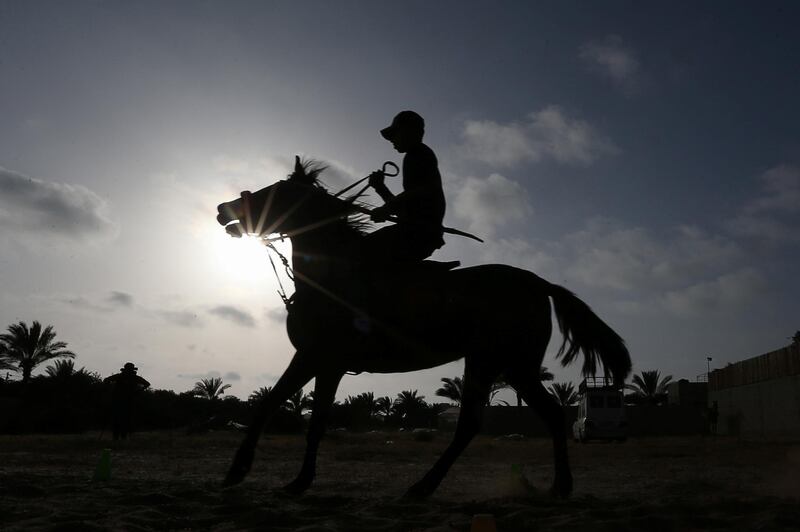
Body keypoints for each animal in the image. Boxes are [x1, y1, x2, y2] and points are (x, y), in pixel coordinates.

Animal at [219, 156, 632, 496]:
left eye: (275, 191)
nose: (224, 209)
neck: (330, 273)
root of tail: (537, 283)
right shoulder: (319, 362)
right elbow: (292, 412)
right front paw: (284, 478)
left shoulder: (318, 359)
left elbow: (290, 412)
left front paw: (252, 473)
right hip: (503, 365)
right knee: (509, 420)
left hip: (504, 363)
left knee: (503, 420)